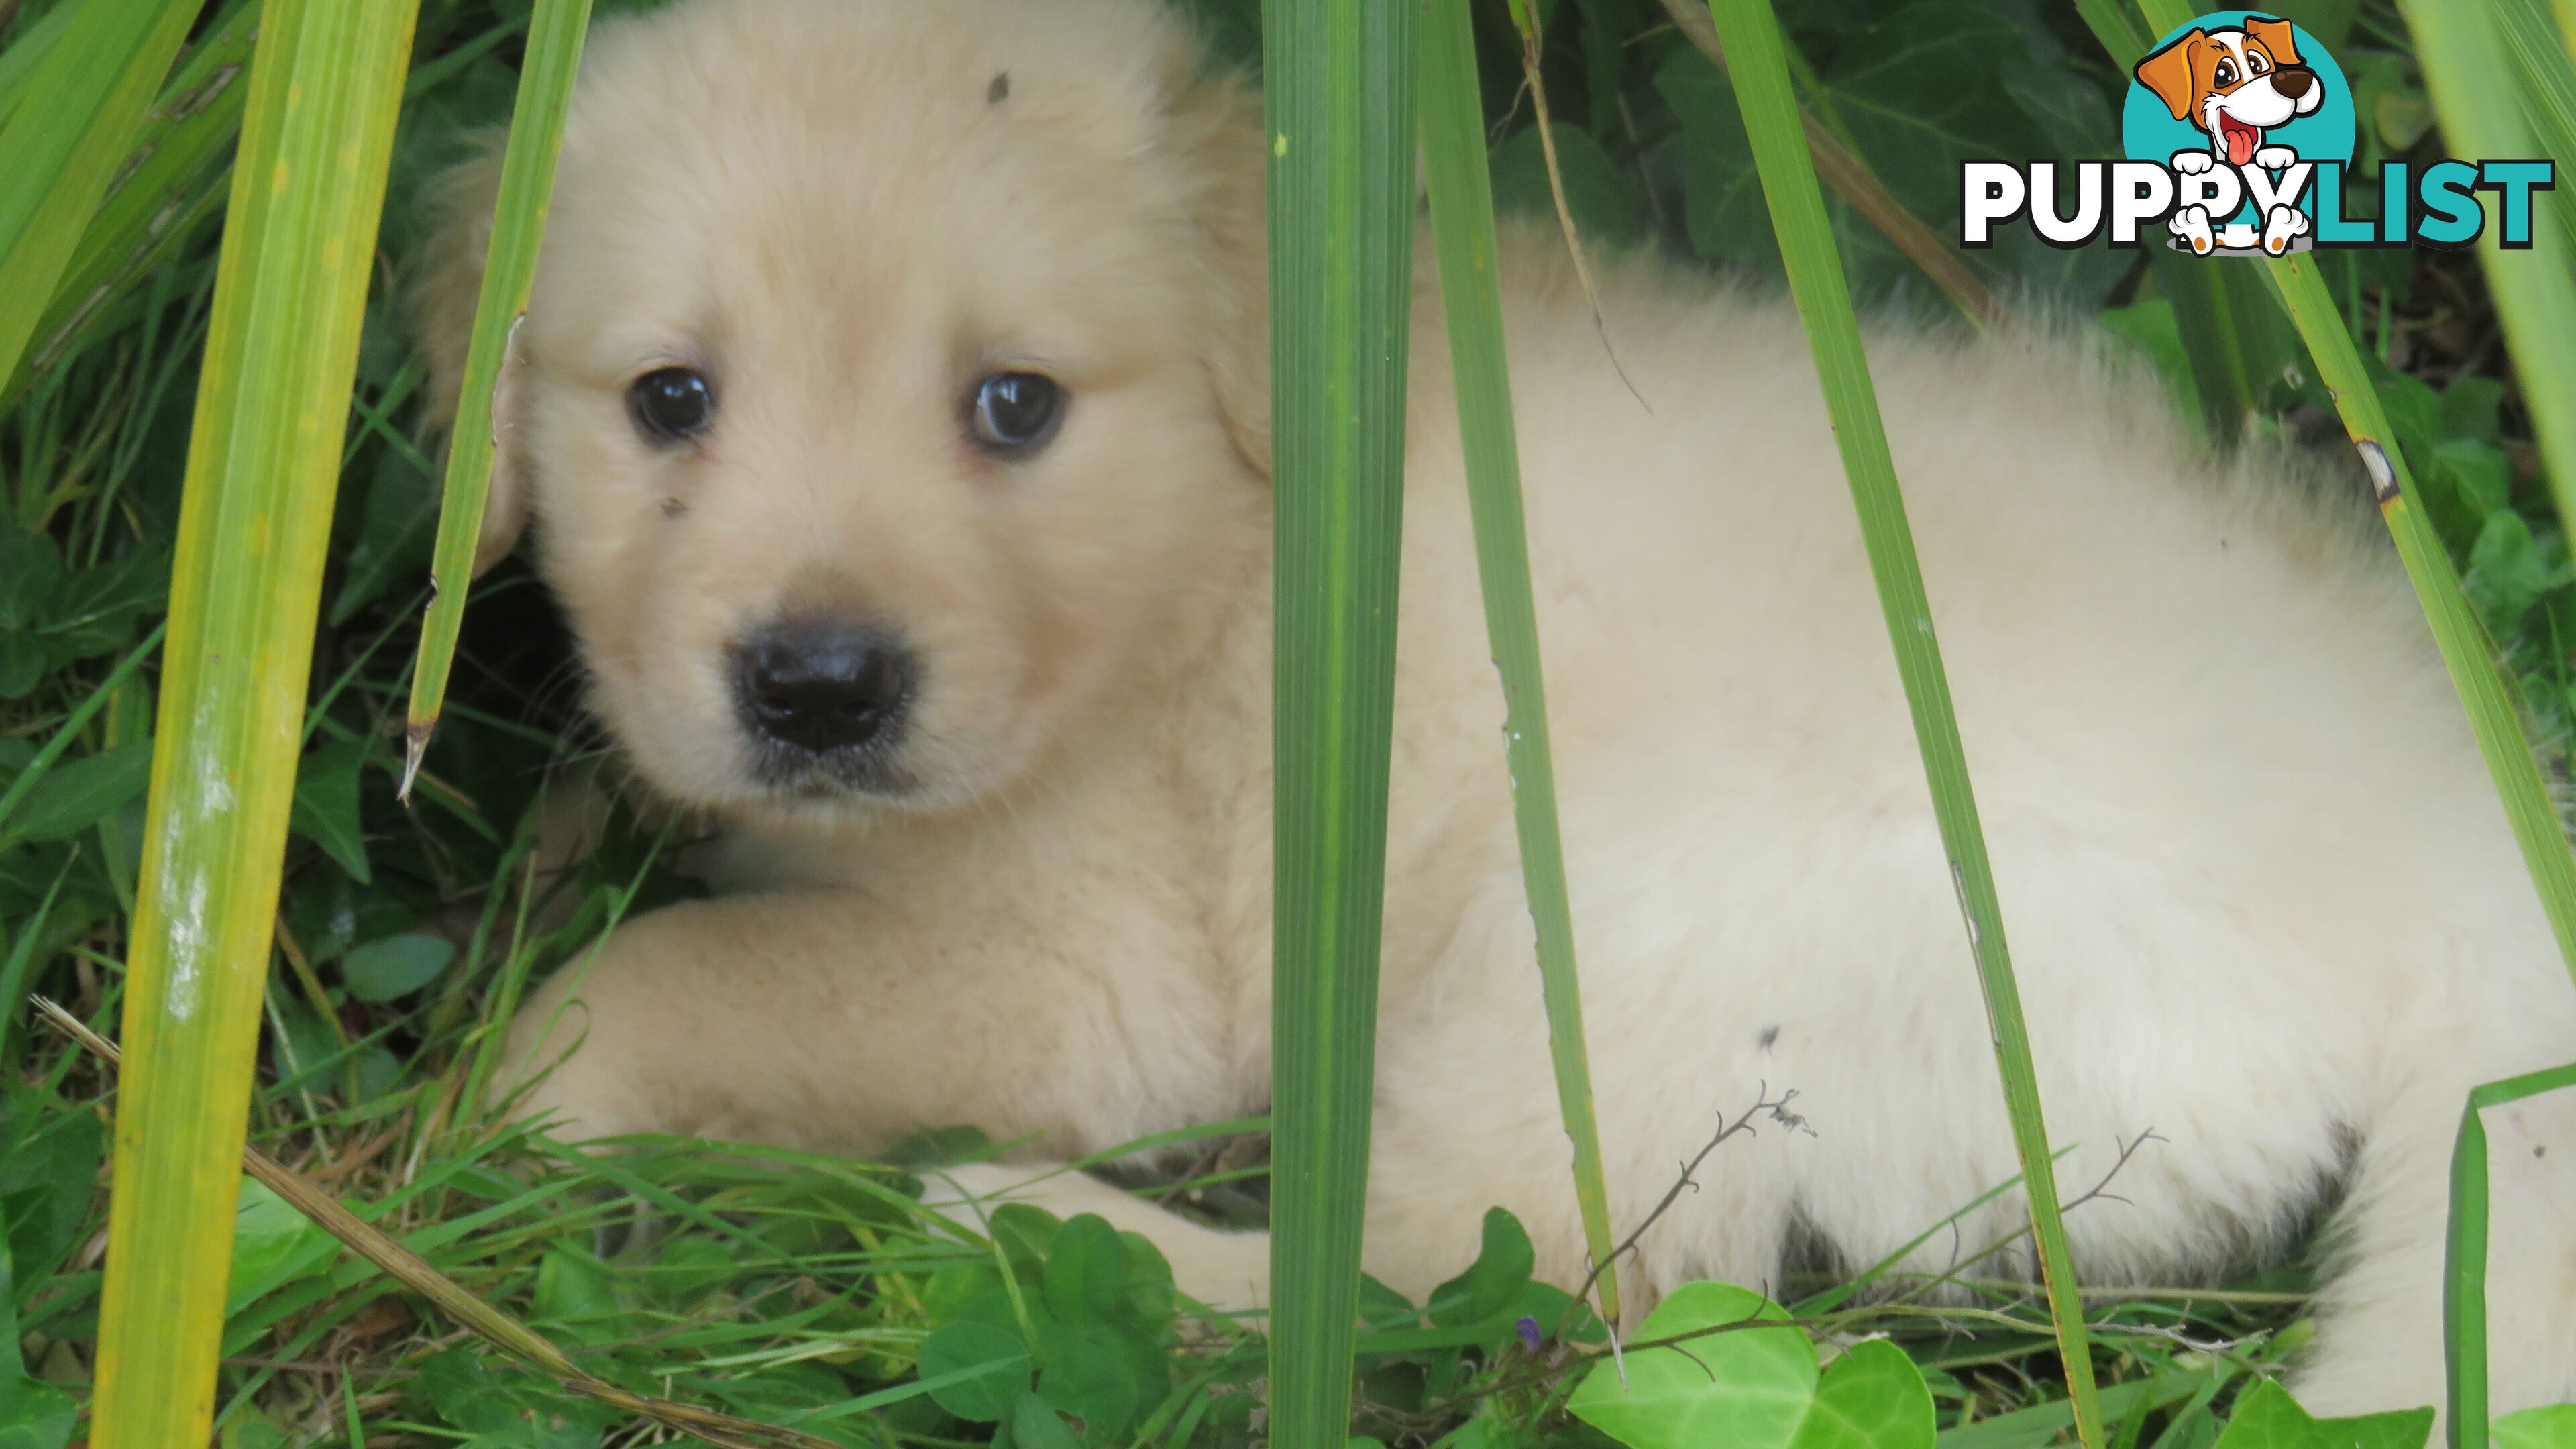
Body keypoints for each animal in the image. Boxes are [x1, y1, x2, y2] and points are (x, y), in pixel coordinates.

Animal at [422, 0, 2576, 1413]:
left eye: (1013, 406)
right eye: (668, 399)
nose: (816, 689)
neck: (1217, 539)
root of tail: (2461, 854)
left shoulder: (1105, 968)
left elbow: (659, 981)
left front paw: (498, 1118)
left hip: (1634, 912)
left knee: (1491, 1273)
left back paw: (1017, 1233)